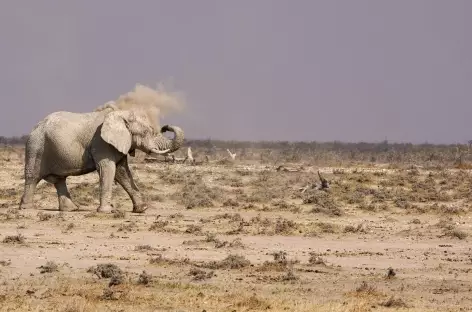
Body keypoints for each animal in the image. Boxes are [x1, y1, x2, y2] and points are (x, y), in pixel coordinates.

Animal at [18, 84, 184, 213]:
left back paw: (71, 209)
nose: (165, 127)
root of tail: (35, 127)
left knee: (59, 179)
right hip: (36, 146)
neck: (120, 113)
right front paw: (106, 211)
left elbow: (122, 172)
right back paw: (26, 209)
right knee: (33, 177)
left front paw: (142, 209)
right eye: (146, 132)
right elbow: (108, 169)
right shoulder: (101, 142)